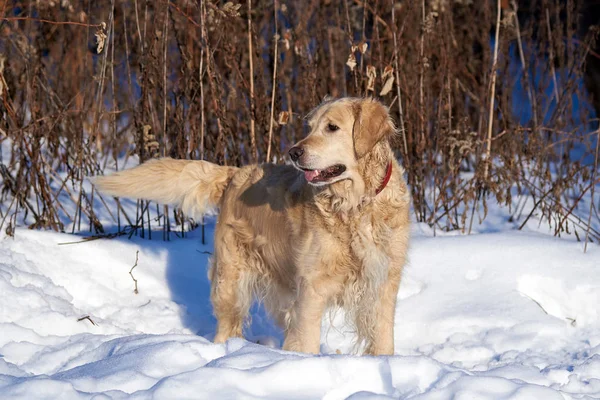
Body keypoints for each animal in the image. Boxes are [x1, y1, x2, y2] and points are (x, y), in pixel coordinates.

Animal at [95, 97, 412, 356]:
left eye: (332, 127)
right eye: (310, 127)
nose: (293, 152)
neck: (355, 205)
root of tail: (235, 172)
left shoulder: (383, 282)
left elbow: (383, 338)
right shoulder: (312, 287)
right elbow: (307, 338)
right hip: (231, 279)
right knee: (228, 325)